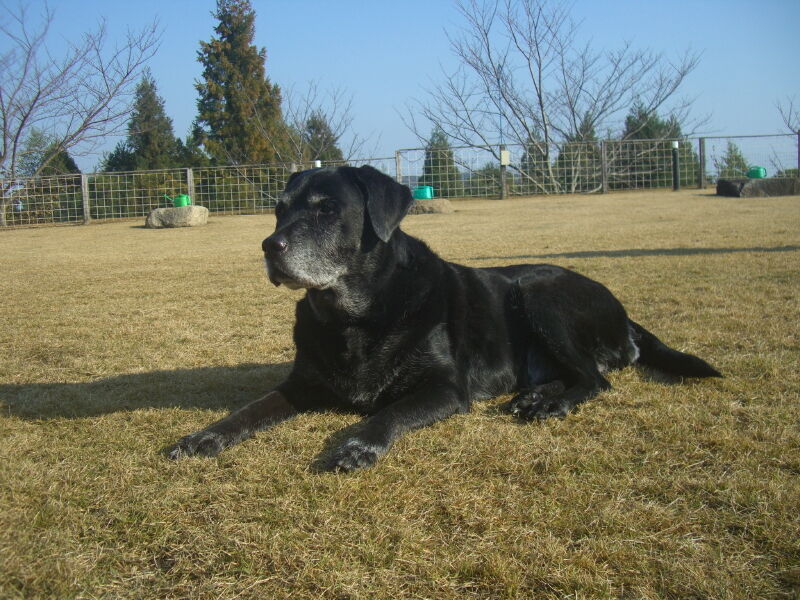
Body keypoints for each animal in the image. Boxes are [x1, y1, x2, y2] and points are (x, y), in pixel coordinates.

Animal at [167, 165, 721, 471]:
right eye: (278, 211)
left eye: (326, 210)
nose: (269, 246)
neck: (354, 318)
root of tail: (625, 315)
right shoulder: (301, 384)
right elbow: (249, 410)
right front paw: (203, 436)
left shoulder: (444, 388)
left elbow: (388, 413)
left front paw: (358, 445)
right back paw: (535, 396)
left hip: (538, 292)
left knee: (595, 379)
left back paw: (551, 404)